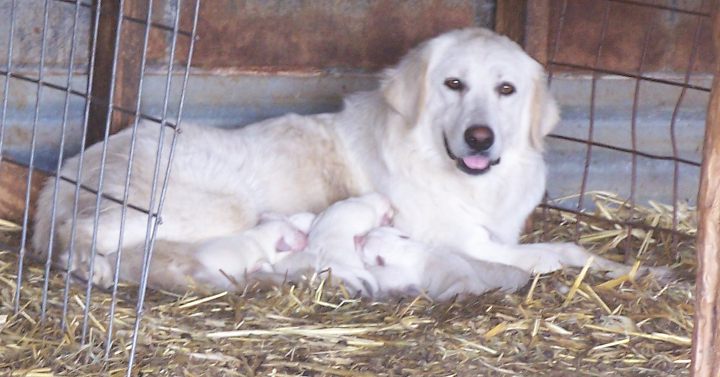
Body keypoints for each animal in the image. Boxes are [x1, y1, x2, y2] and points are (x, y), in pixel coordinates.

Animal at [32, 27, 664, 290]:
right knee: (86, 233)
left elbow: (575, 249)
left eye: (506, 89)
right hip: (209, 209)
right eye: (454, 84)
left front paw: (640, 269)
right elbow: (550, 256)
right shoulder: (468, 242)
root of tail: (63, 175)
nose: (481, 138)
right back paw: (91, 267)